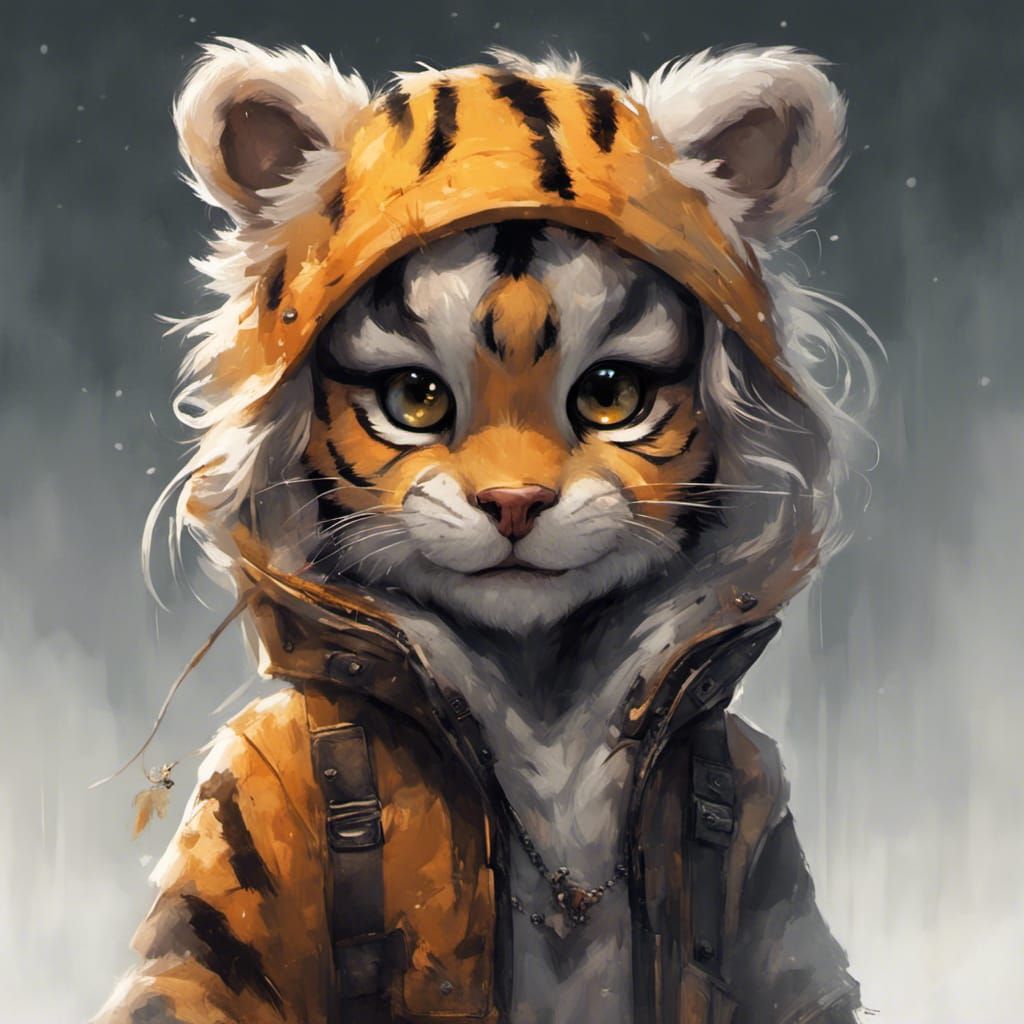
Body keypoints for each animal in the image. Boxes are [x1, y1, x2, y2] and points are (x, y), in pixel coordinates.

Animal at [97, 38, 875, 1024]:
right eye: (415, 398)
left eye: (611, 395)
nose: (514, 501)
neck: (537, 699)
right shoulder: (254, 784)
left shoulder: (760, 811)